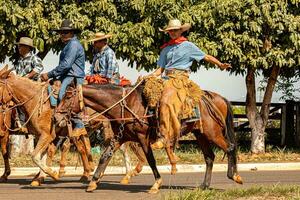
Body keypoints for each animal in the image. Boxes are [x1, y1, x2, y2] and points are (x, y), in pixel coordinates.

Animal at [81, 82, 243, 193]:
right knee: (209, 157)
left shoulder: (143, 138)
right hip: (201, 134)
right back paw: (204, 185)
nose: (84, 125)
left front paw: (156, 184)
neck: (126, 105)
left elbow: (150, 160)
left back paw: (235, 176)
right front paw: (93, 182)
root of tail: (219, 97)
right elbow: (105, 156)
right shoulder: (120, 137)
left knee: (230, 147)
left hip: (213, 133)